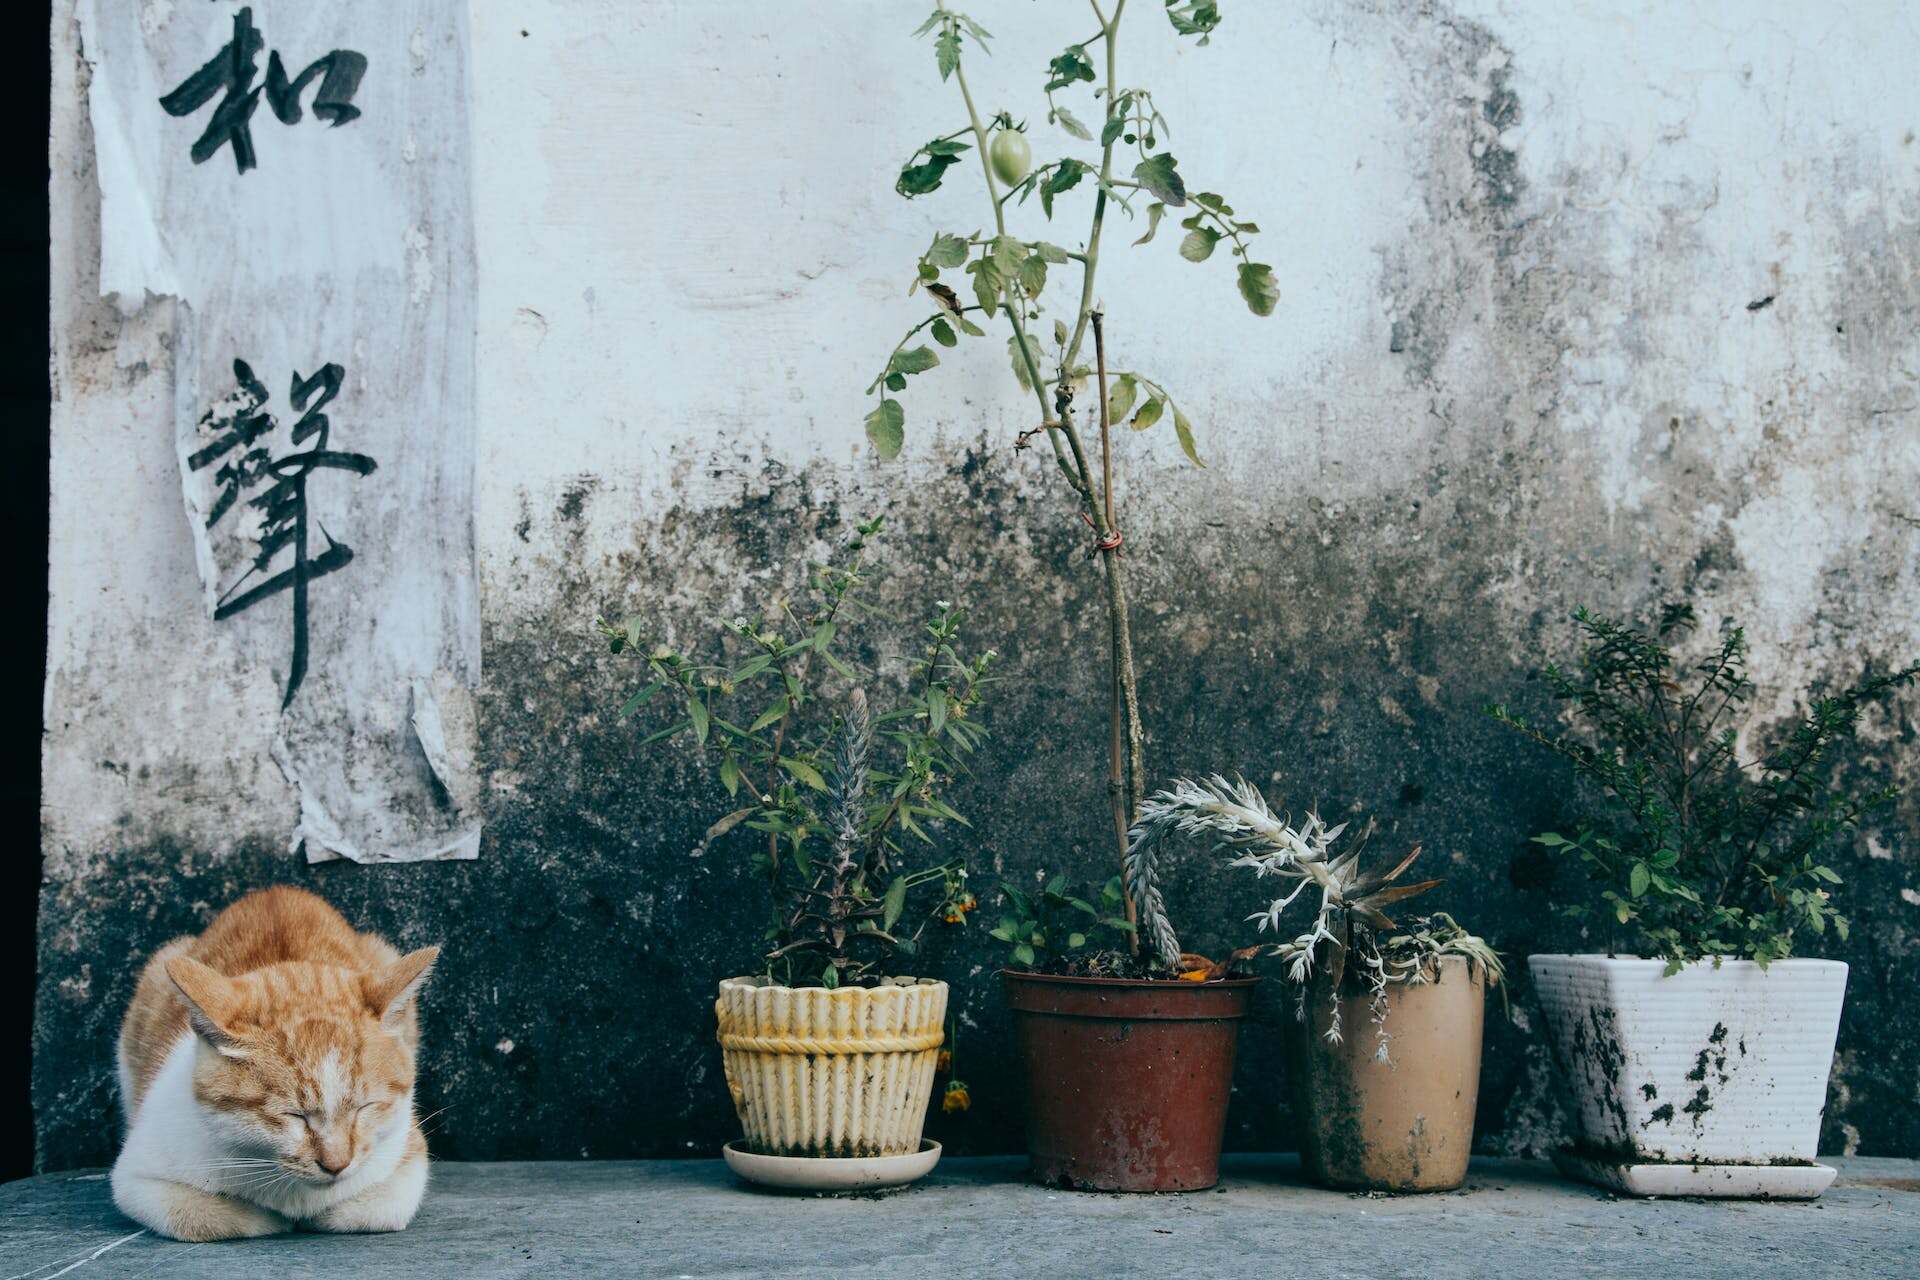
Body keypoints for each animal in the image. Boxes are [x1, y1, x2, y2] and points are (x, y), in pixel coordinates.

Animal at [113, 890, 441, 1243]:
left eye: (363, 1108)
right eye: (293, 1115)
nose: (336, 1165)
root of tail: (275, 892)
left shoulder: (407, 1158)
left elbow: (372, 1211)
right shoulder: (135, 1177)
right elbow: (203, 1217)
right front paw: (269, 1217)